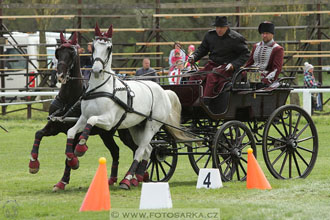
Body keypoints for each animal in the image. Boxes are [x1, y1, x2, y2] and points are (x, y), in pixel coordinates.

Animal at [27, 32, 137, 191]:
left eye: (72, 53)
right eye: (58, 52)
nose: (60, 75)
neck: (68, 100)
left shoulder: (78, 132)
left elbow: (69, 156)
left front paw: (64, 180)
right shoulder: (54, 125)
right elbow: (38, 134)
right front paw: (33, 164)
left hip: (125, 133)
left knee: (138, 149)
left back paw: (135, 178)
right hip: (106, 134)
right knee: (116, 151)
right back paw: (113, 179)